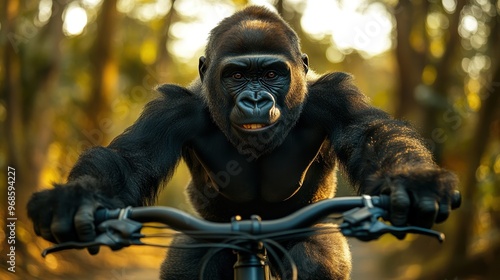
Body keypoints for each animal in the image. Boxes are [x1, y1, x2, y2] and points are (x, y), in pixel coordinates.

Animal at [26, 5, 458, 278]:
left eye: (270, 74)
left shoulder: (335, 98)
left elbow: (373, 136)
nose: (254, 99)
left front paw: (414, 184)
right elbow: (128, 161)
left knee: (317, 259)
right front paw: (75, 200)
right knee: (189, 262)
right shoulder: (174, 109)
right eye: (236, 75)